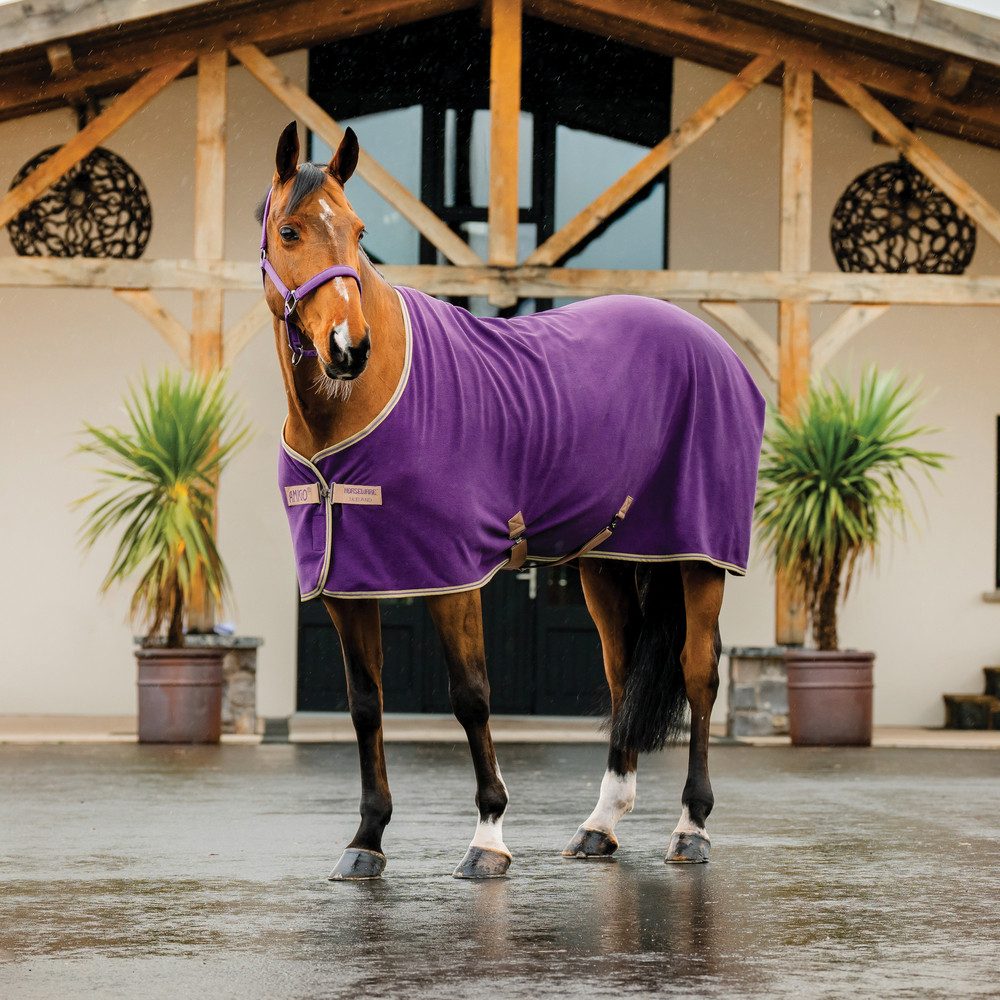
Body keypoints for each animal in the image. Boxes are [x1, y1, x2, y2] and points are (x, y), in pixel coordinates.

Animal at [257, 121, 765, 880]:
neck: (354, 406)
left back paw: (691, 828)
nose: (348, 347)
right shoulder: (349, 583)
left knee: (699, 674)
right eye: (289, 231)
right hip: (608, 562)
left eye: (356, 230)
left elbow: (471, 698)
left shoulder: (452, 576)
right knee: (623, 678)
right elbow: (365, 705)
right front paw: (366, 839)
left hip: (699, 558)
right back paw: (598, 827)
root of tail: (713, 346)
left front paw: (488, 837)